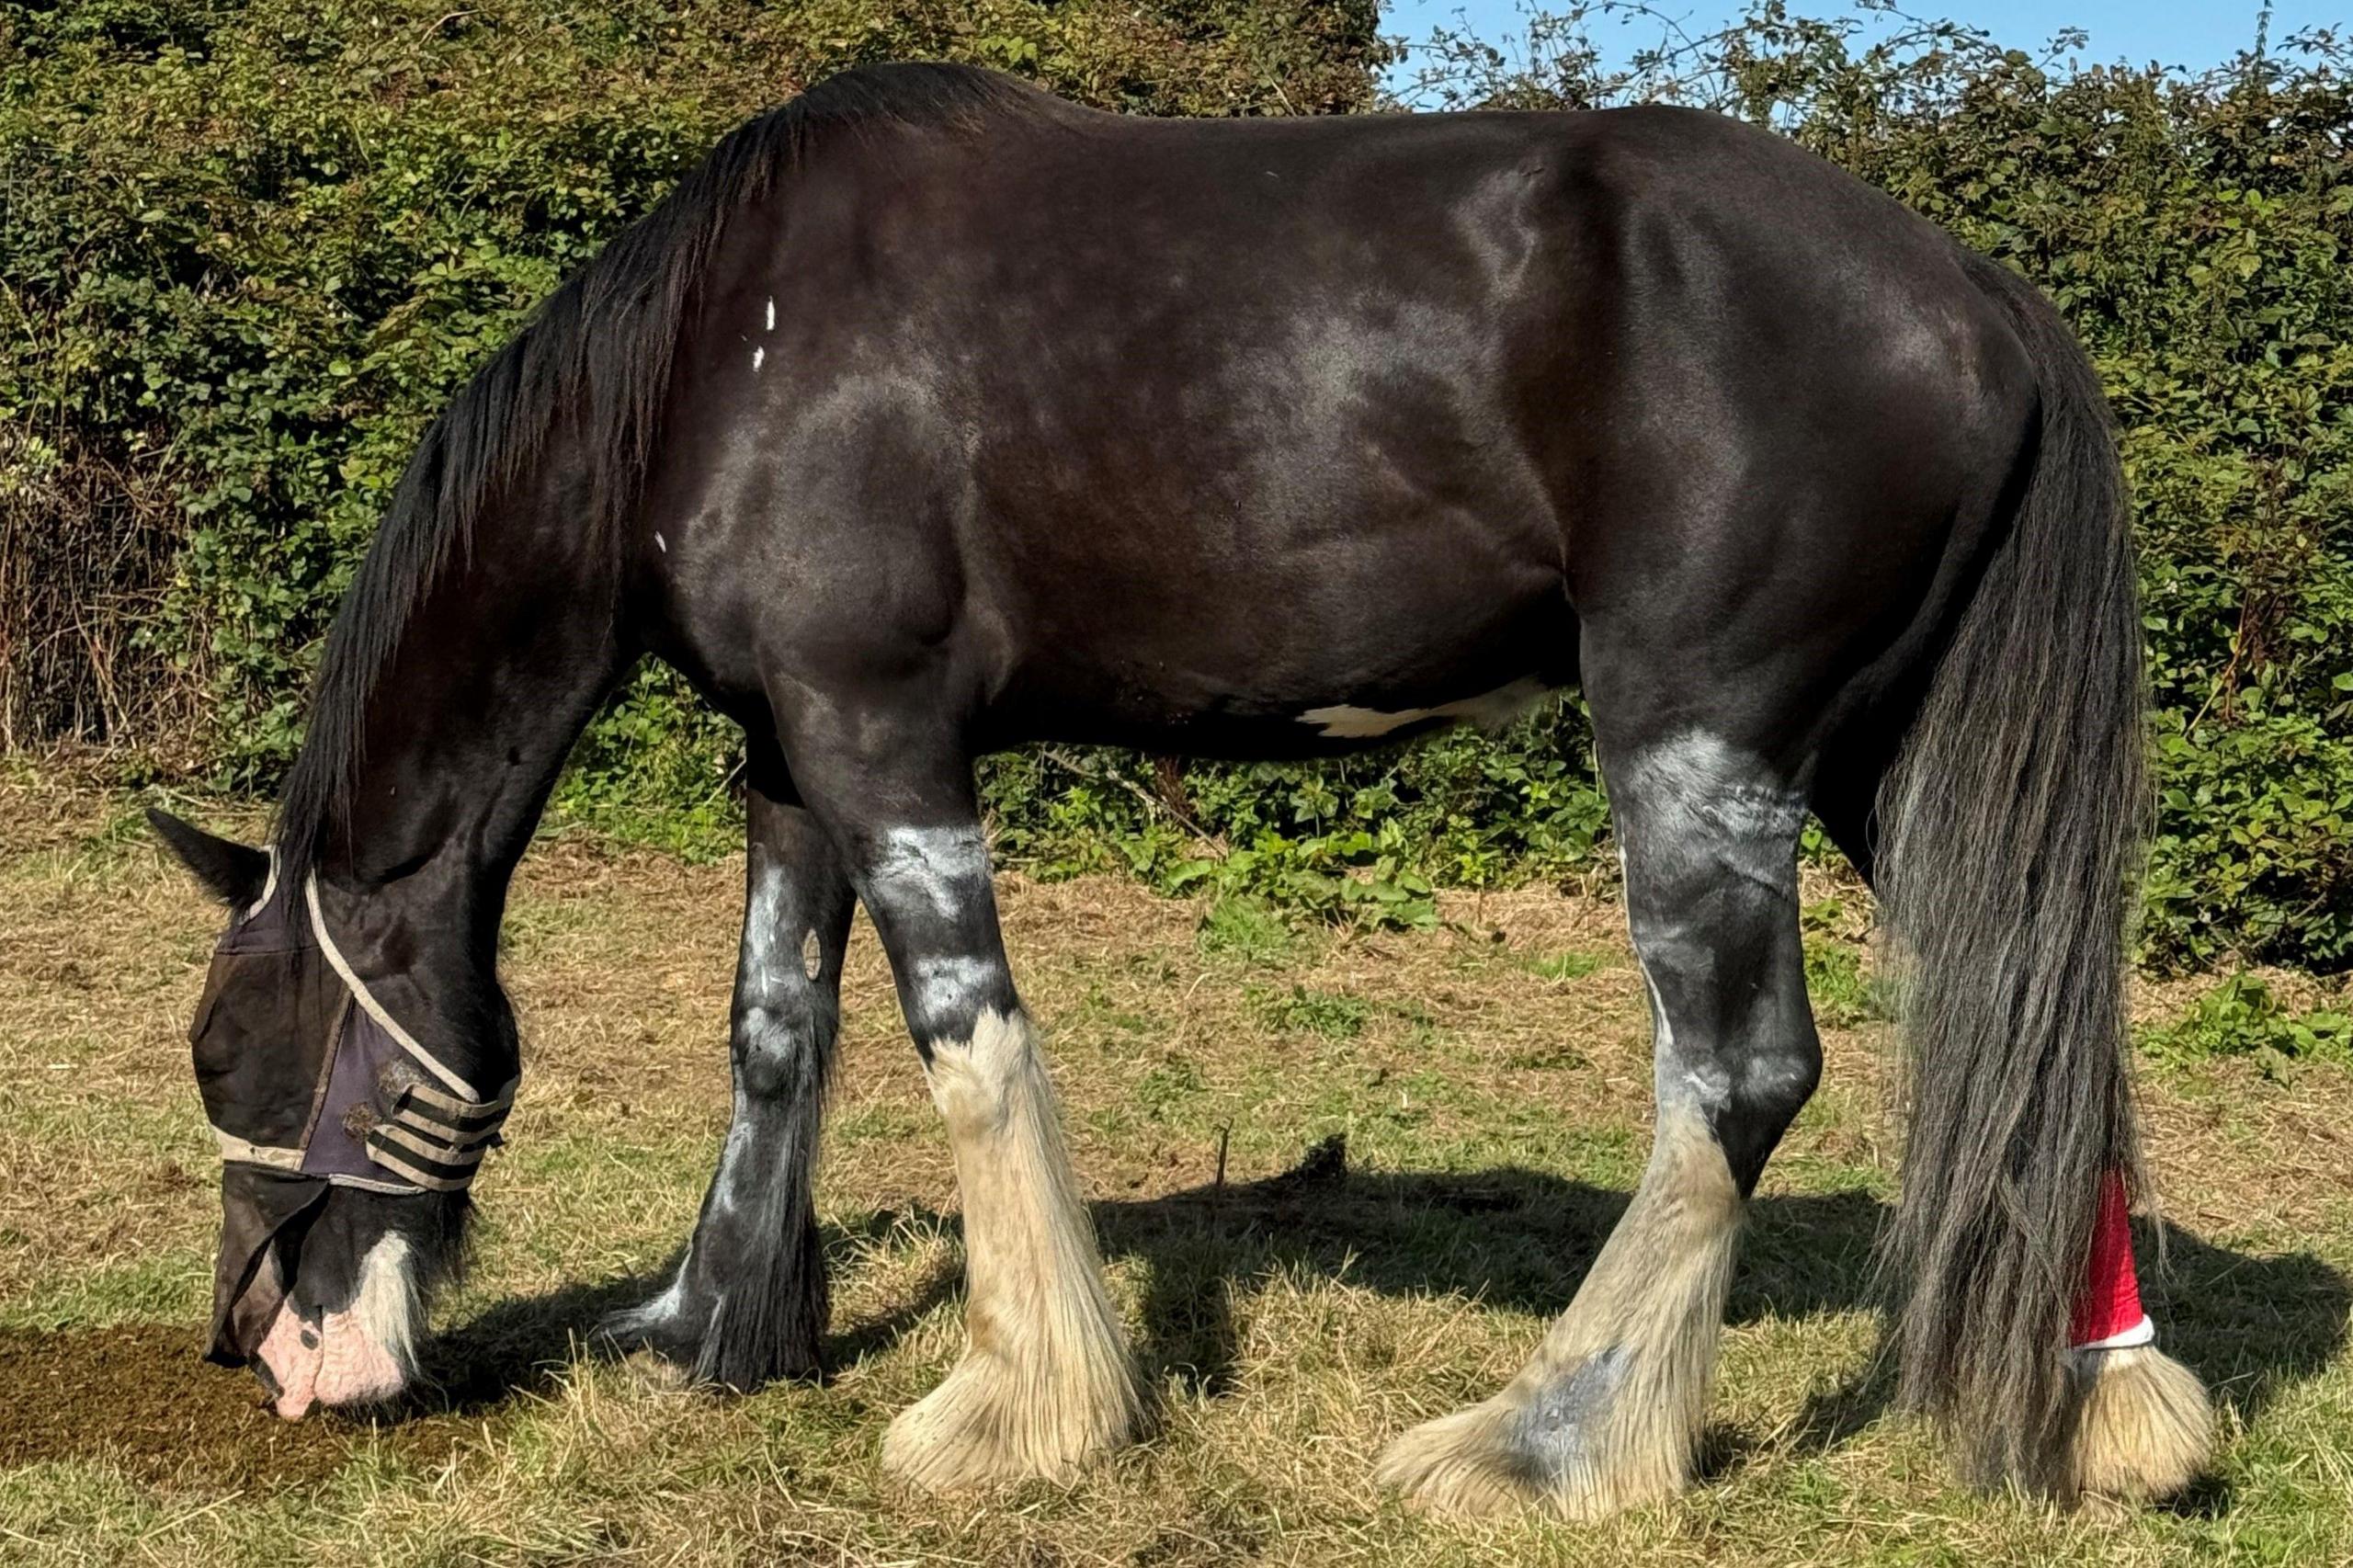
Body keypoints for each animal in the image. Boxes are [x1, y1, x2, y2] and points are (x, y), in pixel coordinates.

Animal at [156, 61, 2211, 1516]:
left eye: (230, 1055)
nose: (256, 1345)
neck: (720, 354)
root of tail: (1972, 288)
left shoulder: (880, 736)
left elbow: (962, 1037)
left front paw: (1018, 1405)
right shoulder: (786, 762)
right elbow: (773, 1035)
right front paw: (707, 1329)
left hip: (1702, 744)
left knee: (1739, 1070)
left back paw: (1551, 1438)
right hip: (1880, 758)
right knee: (2039, 1009)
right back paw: (2110, 1402)